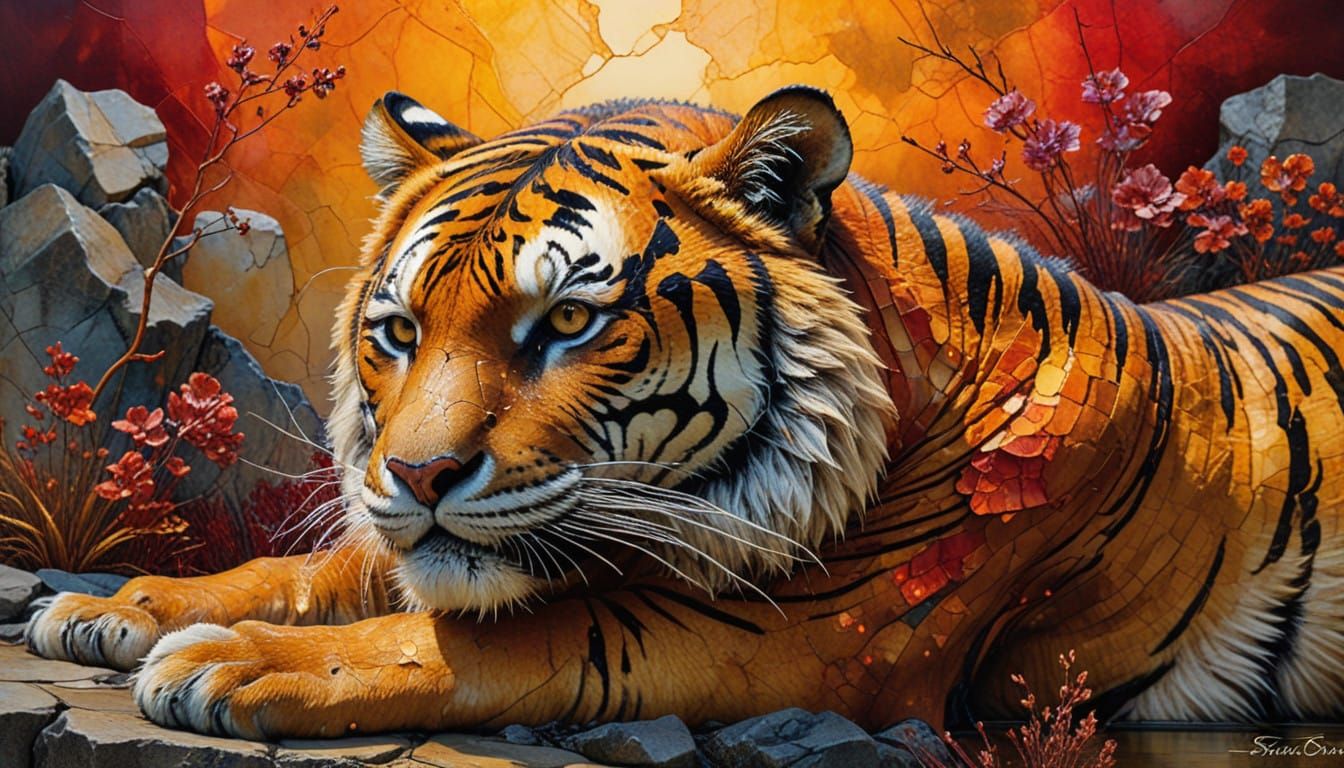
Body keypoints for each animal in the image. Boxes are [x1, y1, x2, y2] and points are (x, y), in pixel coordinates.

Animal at [26, 85, 1344, 740]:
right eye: (398, 333)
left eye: (565, 322)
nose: (418, 478)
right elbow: (332, 572)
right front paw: (120, 609)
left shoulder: (796, 640)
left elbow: (483, 640)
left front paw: (231, 661)